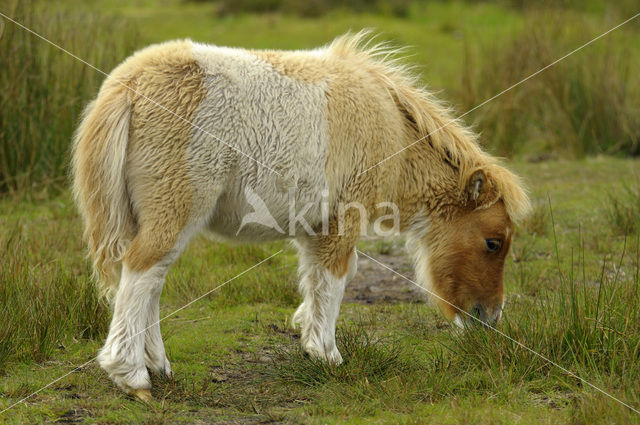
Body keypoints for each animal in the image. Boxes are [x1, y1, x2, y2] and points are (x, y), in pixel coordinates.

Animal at [71, 32, 528, 398]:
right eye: (493, 242)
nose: (490, 318)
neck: (393, 132)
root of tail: (127, 86)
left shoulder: (316, 225)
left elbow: (317, 276)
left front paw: (307, 334)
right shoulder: (344, 218)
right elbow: (336, 276)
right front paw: (327, 355)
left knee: (150, 281)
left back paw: (158, 366)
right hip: (175, 209)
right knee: (142, 272)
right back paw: (132, 377)